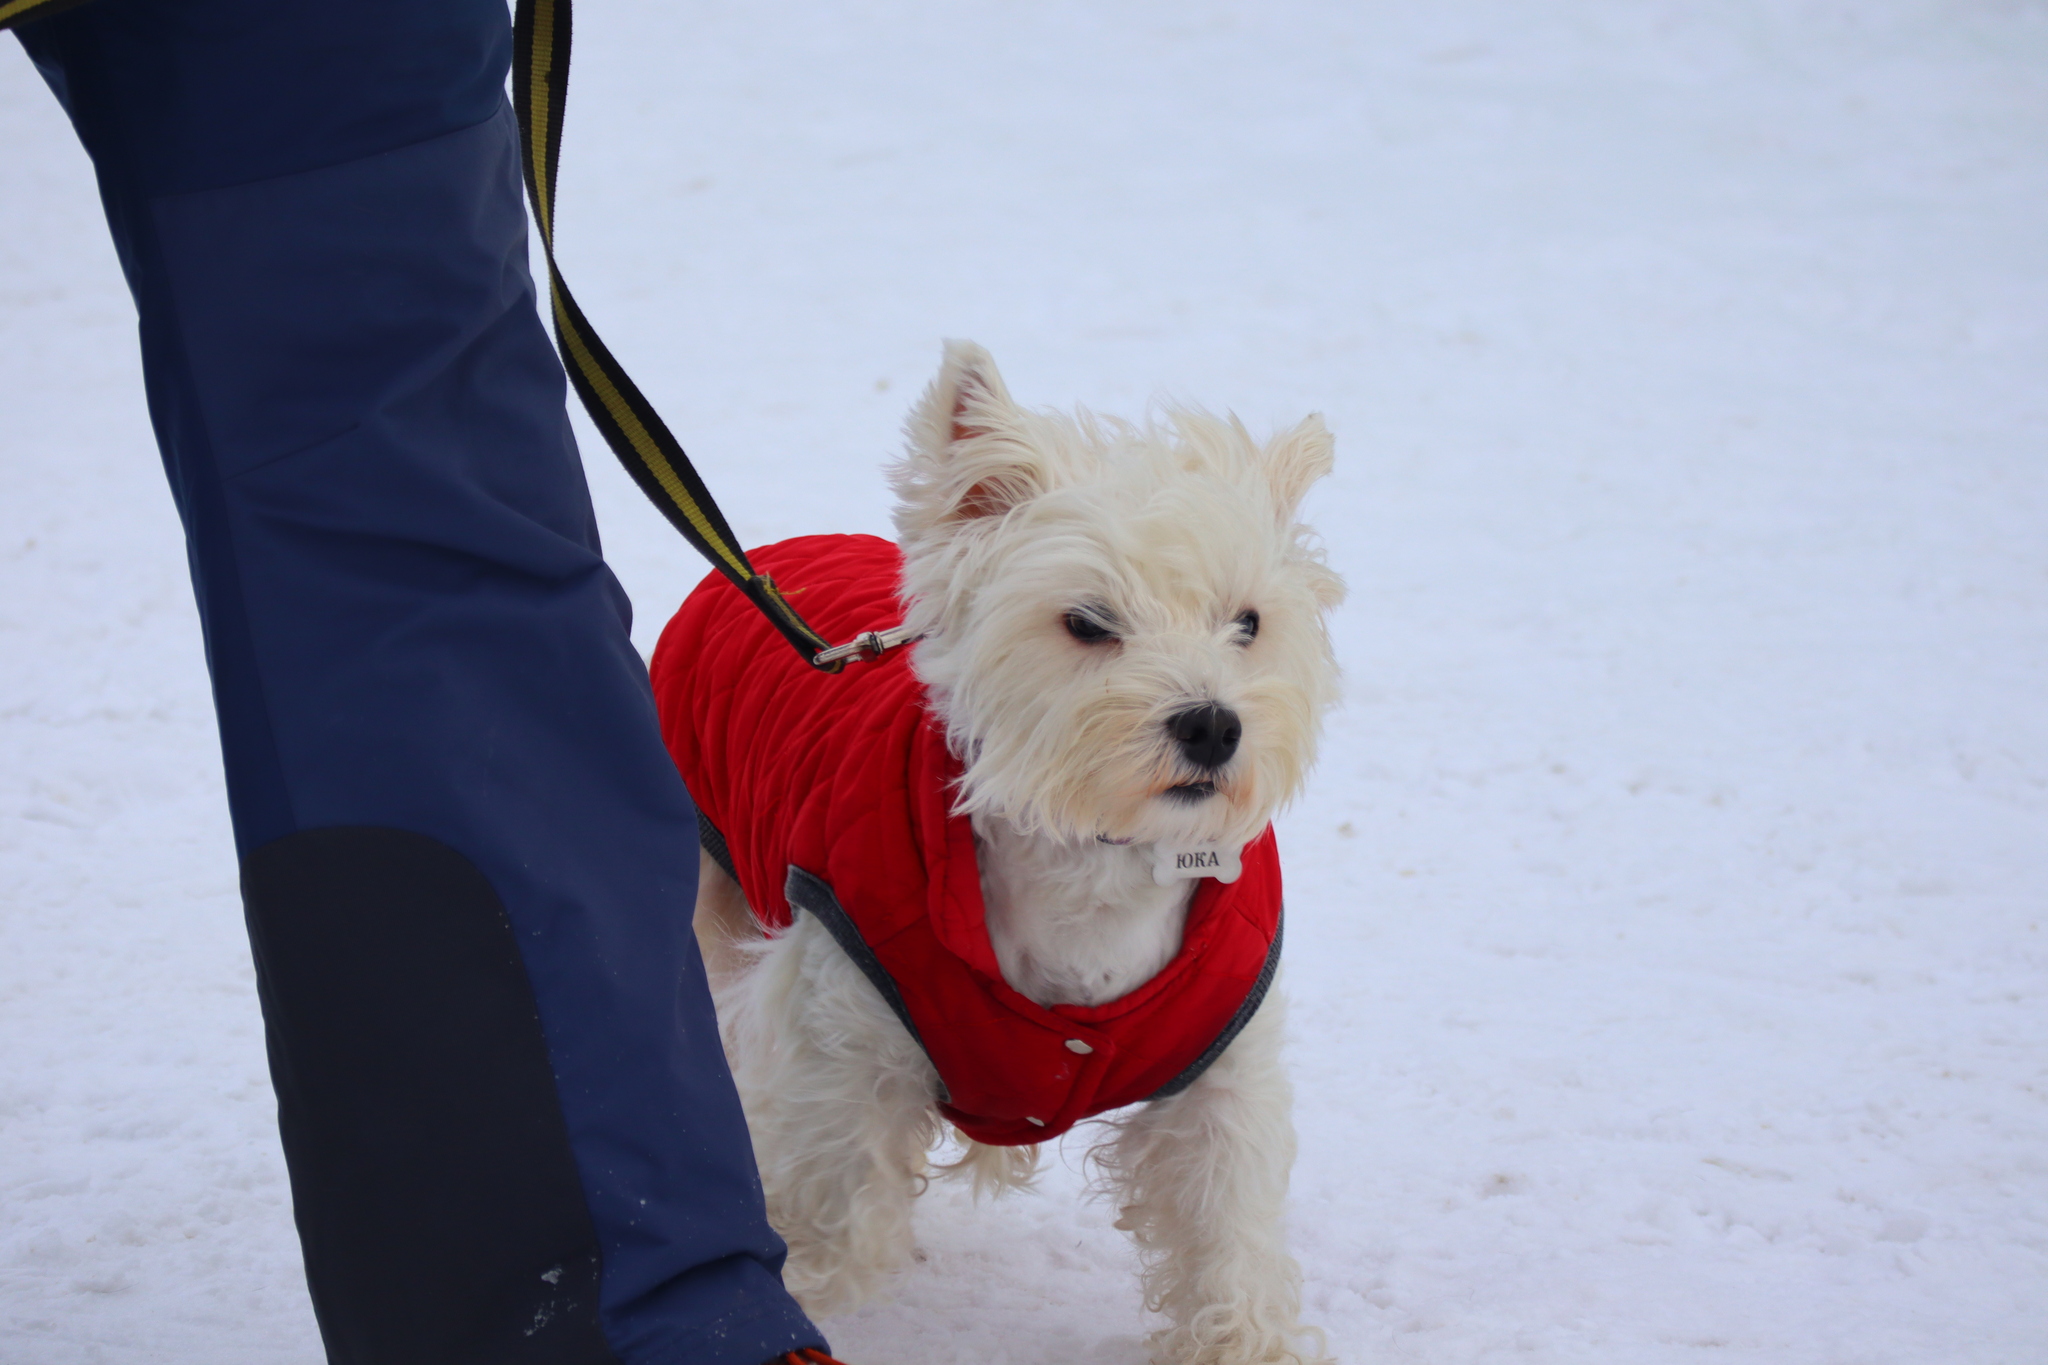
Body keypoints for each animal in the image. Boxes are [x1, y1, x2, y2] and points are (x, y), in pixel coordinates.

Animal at [655, 343, 1343, 1365]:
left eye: (1248, 621)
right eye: (1088, 621)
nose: (1214, 725)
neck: (1091, 858)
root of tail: (772, 556)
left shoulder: (1221, 1066)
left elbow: (1227, 1231)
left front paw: (1241, 1341)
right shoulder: (839, 1021)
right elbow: (833, 1200)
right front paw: (785, 1290)